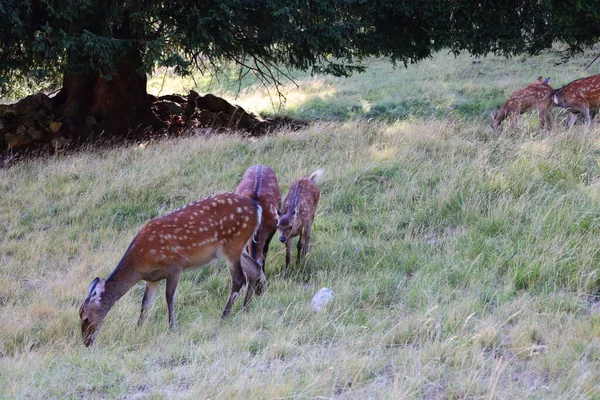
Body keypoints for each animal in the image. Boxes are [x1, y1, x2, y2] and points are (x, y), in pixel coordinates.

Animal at [78, 192, 264, 346]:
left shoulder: (175, 265)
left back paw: (224, 316)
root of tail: (258, 208)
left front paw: (172, 327)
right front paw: (138, 329)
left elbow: (169, 297)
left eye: (85, 318)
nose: (86, 342)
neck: (141, 262)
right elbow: (145, 304)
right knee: (254, 268)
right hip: (237, 247)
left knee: (239, 278)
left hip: (232, 243)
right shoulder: (152, 279)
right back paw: (246, 308)